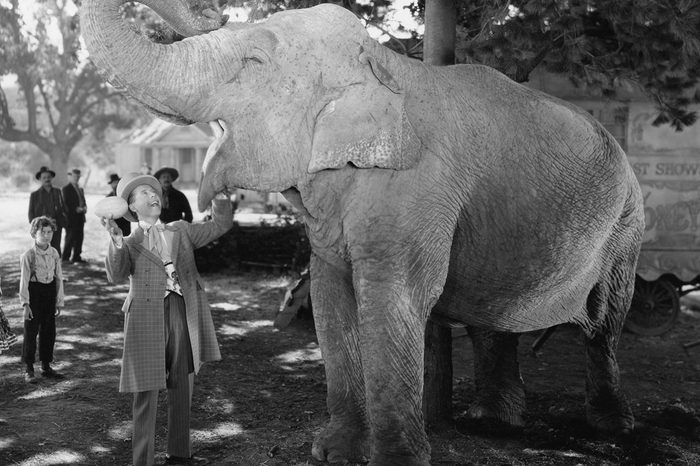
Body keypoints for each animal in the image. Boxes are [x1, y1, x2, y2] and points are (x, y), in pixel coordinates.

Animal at [81, 2, 645, 465]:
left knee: (604, 323)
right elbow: (330, 296)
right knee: (493, 315)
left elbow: (395, 299)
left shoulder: (418, 189)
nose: (208, 12)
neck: (384, 62)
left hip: (626, 227)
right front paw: (331, 452)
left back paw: (612, 427)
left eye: (255, 62)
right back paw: (493, 420)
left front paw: (393, 459)